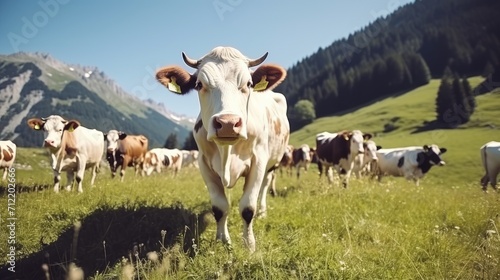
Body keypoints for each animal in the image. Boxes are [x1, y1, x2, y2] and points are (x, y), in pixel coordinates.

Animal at [155, 46, 290, 254]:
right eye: (199, 84)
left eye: (249, 83)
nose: (227, 123)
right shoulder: (204, 163)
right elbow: (220, 207)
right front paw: (222, 241)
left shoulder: (258, 161)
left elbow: (247, 208)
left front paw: (249, 245)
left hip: (272, 163)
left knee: (265, 186)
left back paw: (263, 211)